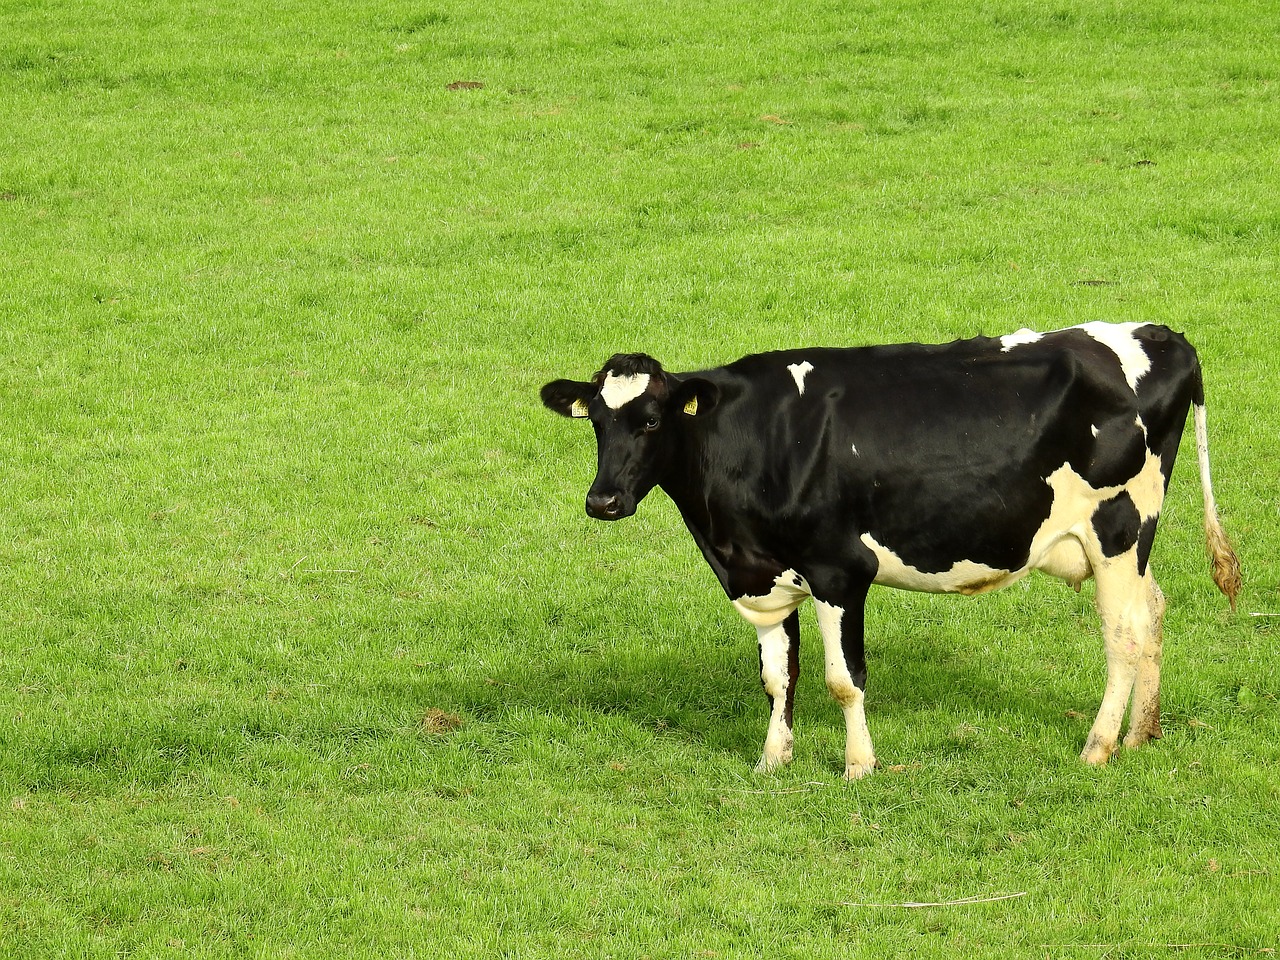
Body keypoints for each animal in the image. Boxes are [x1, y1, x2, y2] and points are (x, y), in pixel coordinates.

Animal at [540, 323, 1239, 783]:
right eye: (597, 421)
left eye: (653, 420)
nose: (603, 501)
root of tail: (1161, 335)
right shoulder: (763, 576)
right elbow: (777, 677)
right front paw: (772, 760)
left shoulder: (838, 572)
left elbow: (842, 679)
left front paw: (858, 766)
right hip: (1127, 544)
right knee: (1153, 613)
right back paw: (1142, 735)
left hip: (1118, 527)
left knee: (1124, 633)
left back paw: (1099, 746)